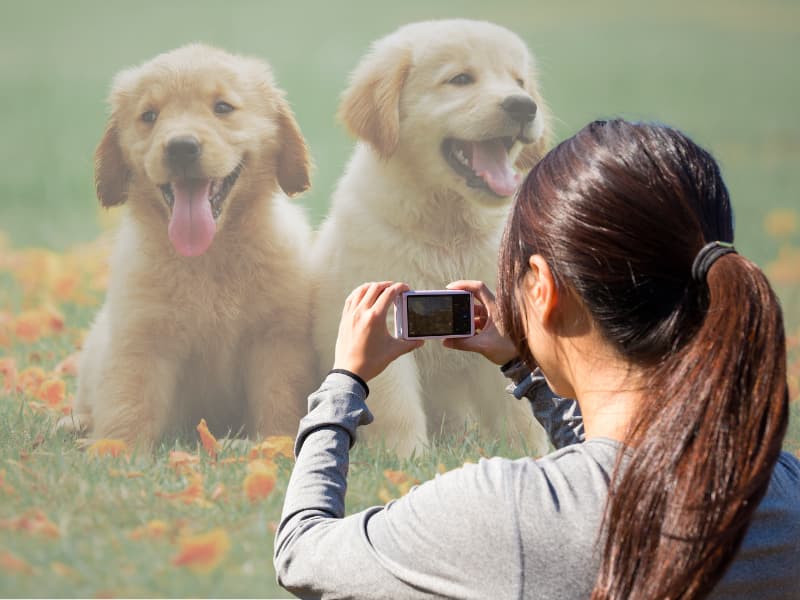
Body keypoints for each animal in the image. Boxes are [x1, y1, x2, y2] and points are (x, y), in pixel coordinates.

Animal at [59, 45, 314, 446]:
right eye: (149, 116)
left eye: (223, 107)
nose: (180, 148)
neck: (208, 257)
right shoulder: (140, 337)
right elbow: (128, 400)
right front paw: (115, 447)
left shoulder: (277, 338)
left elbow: (279, 397)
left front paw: (275, 443)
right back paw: (77, 423)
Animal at [310, 21, 552, 458]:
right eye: (460, 79)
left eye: (519, 81)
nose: (524, 106)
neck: (446, 228)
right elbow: (395, 404)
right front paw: (406, 459)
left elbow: (515, 405)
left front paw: (531, 453)